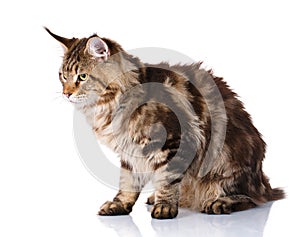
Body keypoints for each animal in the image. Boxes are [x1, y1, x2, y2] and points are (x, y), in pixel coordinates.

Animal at [45, 27, 284, 218]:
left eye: (82, 77)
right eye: (62, 76)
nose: (66, 93)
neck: (111, 104)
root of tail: (263, 181)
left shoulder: (174, 140)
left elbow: (168, 179)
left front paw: (165, 207)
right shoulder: (130, 153)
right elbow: (127, 183)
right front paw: (120, 205)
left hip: (226, 164)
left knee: (250, 198)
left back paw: (218, 202)